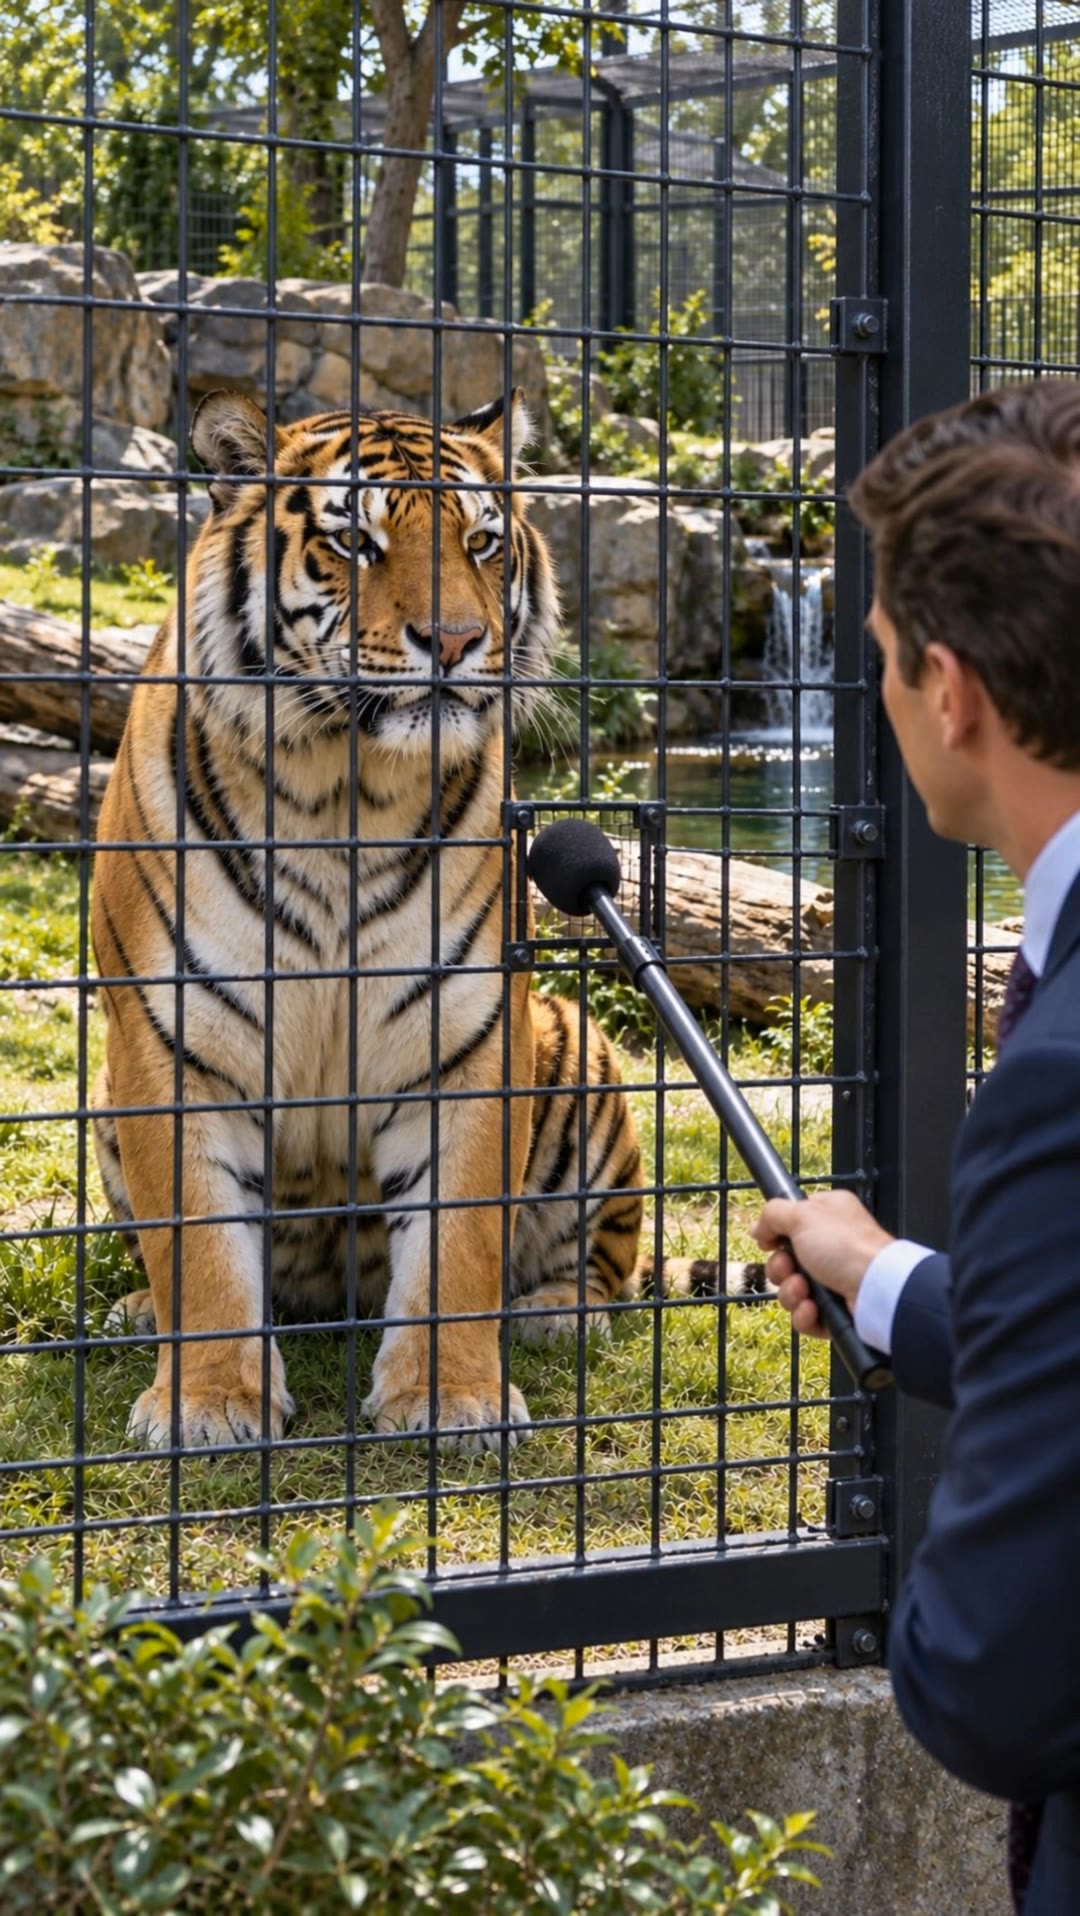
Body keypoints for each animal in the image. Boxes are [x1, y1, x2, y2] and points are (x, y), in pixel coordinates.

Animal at [91, 387, 764, 1456]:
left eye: (481, 542)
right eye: (354, 543)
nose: (453, 642)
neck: (339, 790)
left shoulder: (468, 1032)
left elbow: (459, 1242)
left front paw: (453, 1400)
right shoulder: (169, 1040)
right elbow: (199, 1248)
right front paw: (210, 1405)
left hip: (581, 1056)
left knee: (607, 1265)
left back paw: (554, 1311)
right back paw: (137, 1312)